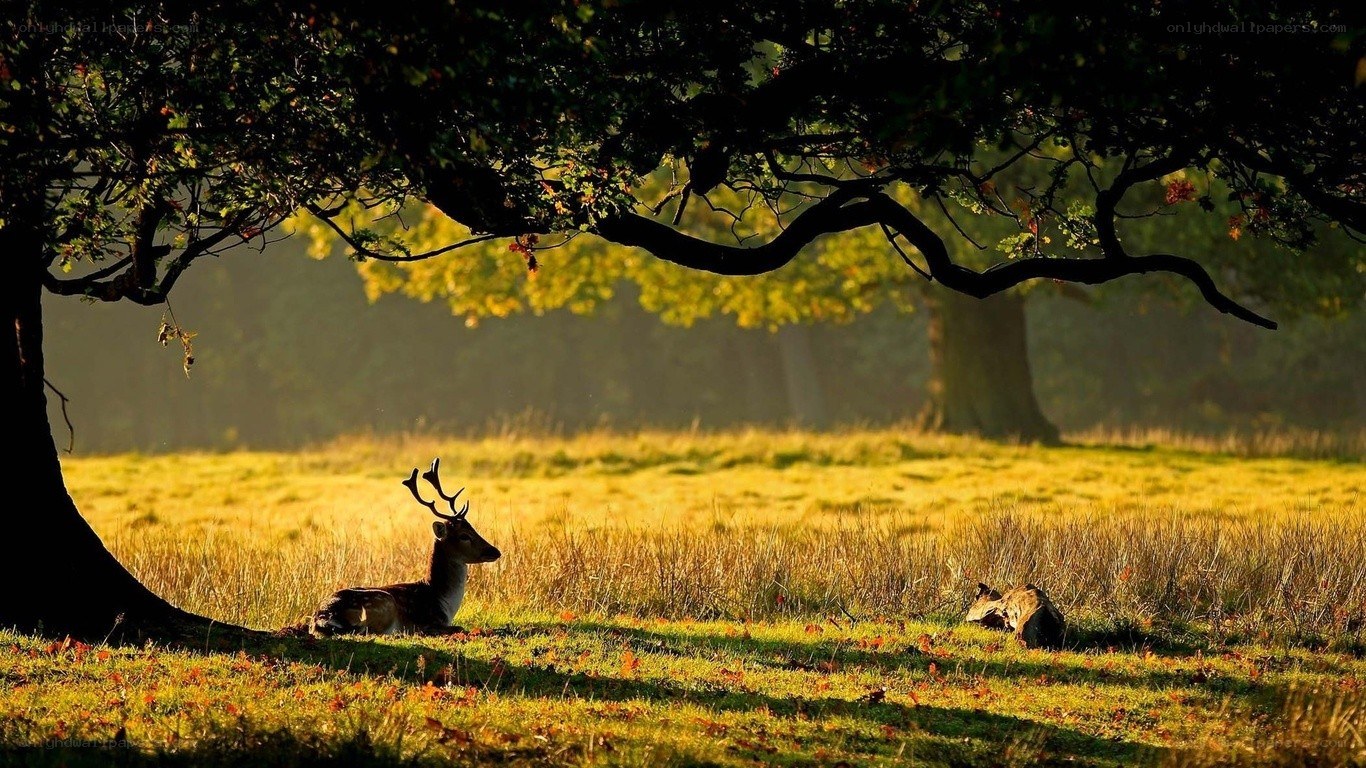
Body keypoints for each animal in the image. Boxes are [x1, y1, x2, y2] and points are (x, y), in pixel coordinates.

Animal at [309, 459, 500, 637]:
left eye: (472, 528)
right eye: (464, 536)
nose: (495, 551)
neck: (442, 602)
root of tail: (322, 618)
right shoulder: (427, 621)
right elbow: (458, 627)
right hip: (383, 602)